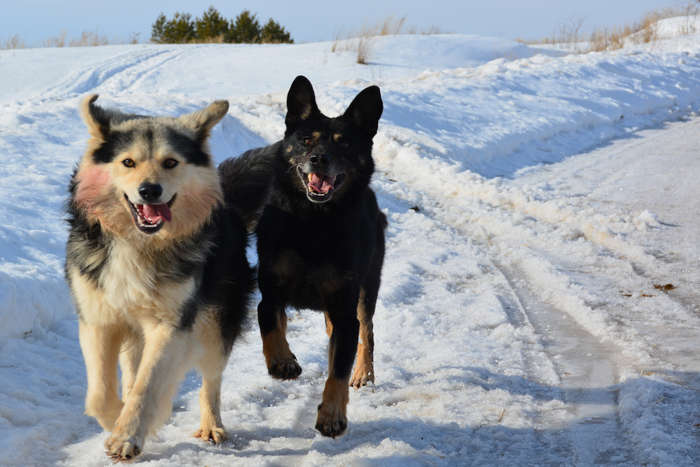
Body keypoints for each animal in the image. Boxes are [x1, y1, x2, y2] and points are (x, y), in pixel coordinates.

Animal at [65, 94, 254, 460]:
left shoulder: (171, 325)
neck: (139, 244)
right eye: (128, 162)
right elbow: (100, 394)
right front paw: (118, 420)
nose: (149, 190)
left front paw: (127, 434)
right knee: (131, 371)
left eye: (170, 163)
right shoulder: (99, 319)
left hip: (216, 325)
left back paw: (211, 425)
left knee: (211, 380)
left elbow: (148, 385)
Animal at [219, 76, 386, 438]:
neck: (313, 221)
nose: (320, 159)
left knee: (366, 331)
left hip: (367, 286)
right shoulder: (270, 287)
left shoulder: (344, 305)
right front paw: (282, 361)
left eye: (344, 144)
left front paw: (332, 415)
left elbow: (339, 368)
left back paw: (363, 372)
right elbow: (269, 320)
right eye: (306, 140)